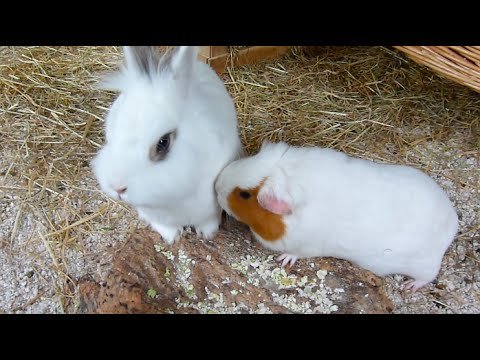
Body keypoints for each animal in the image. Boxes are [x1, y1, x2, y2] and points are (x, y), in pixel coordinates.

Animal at [91, 47, 244, 245]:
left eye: (163, 142)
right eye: (112, 132)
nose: (117, 187)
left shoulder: (211, 205)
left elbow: (209, 220)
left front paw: (207, 234)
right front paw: (173, 237)